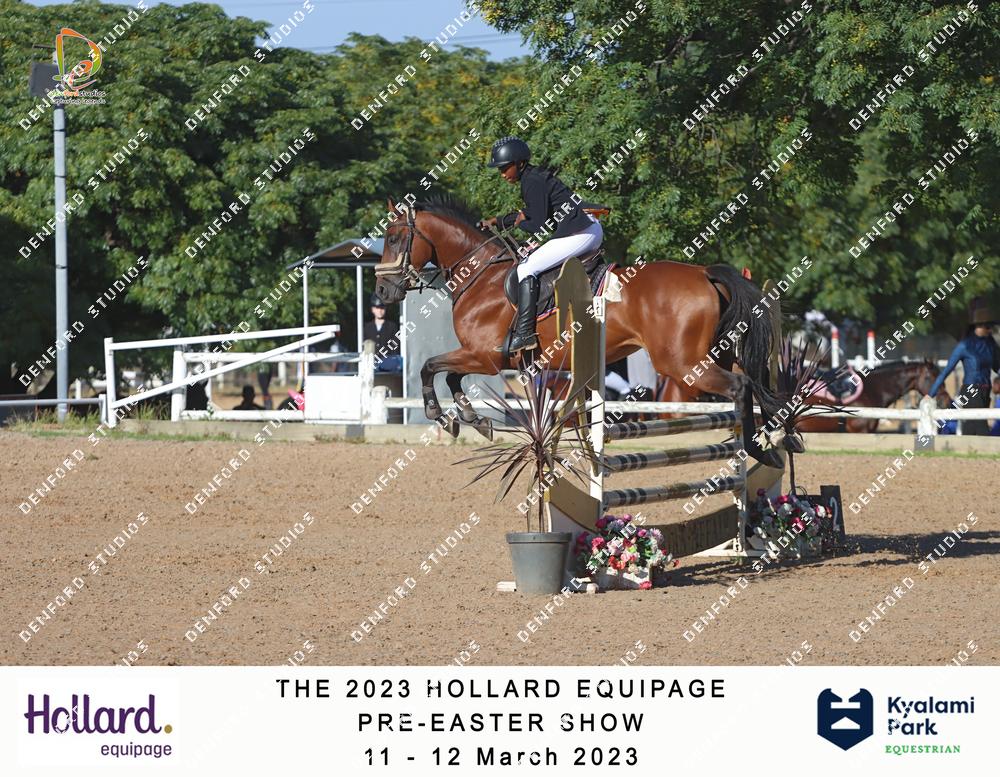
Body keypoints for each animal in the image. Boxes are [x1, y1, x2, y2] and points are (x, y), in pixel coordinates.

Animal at [373, 196, 785, 467]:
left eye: (393, 238)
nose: (382, 291)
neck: (481, 275)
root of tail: (703, 273)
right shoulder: (484, 359)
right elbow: (449, 376)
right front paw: (474, 419)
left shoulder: (486, 357)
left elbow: (430, 367)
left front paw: (442, 415)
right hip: (716, 355)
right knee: (751, 382)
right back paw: (776, 439)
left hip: (683, 366)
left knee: (740, 386)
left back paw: (758, 448)